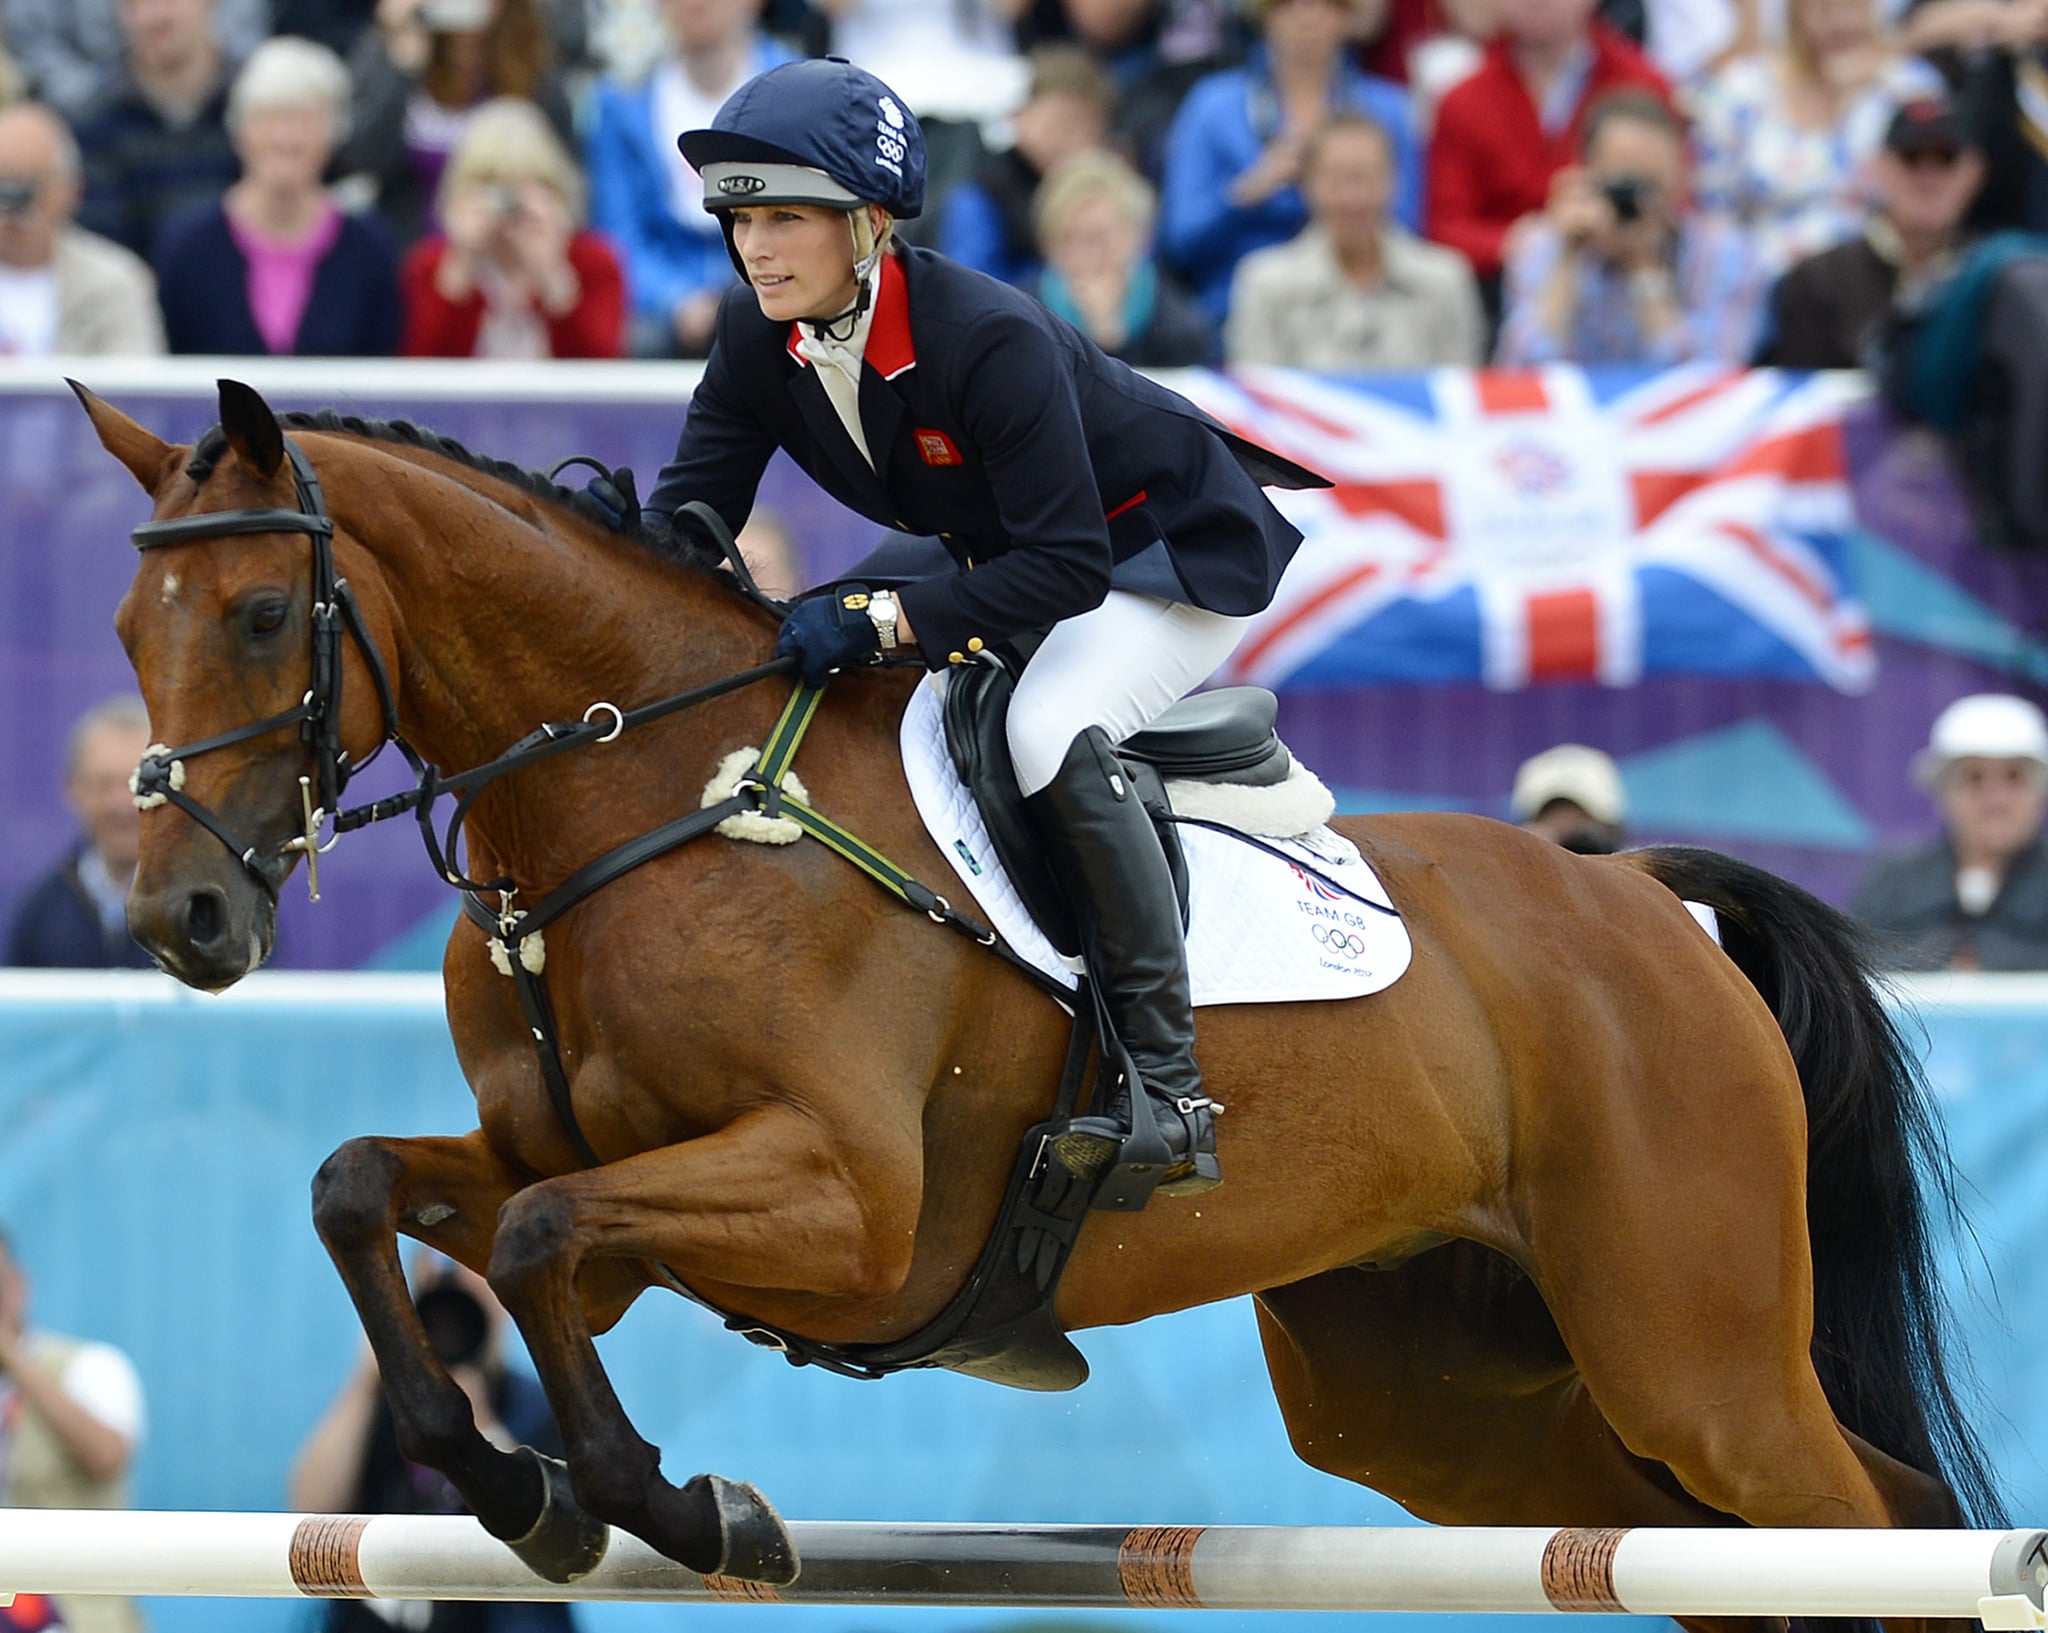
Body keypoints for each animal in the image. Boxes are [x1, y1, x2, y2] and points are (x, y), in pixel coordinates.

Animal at [79, 385, 1998, 1630]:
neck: (639, 797)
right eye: (124, 628)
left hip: (1689, 1349)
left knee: (1869, 1522)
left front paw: (684, 1507)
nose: (179, 917)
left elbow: (552, 1238)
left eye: (264, 611)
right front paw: (507, 1490)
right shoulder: (570, 1163)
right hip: (1445, 1398)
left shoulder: (847, 1206)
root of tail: (1646, 901)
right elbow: (369, 1186)